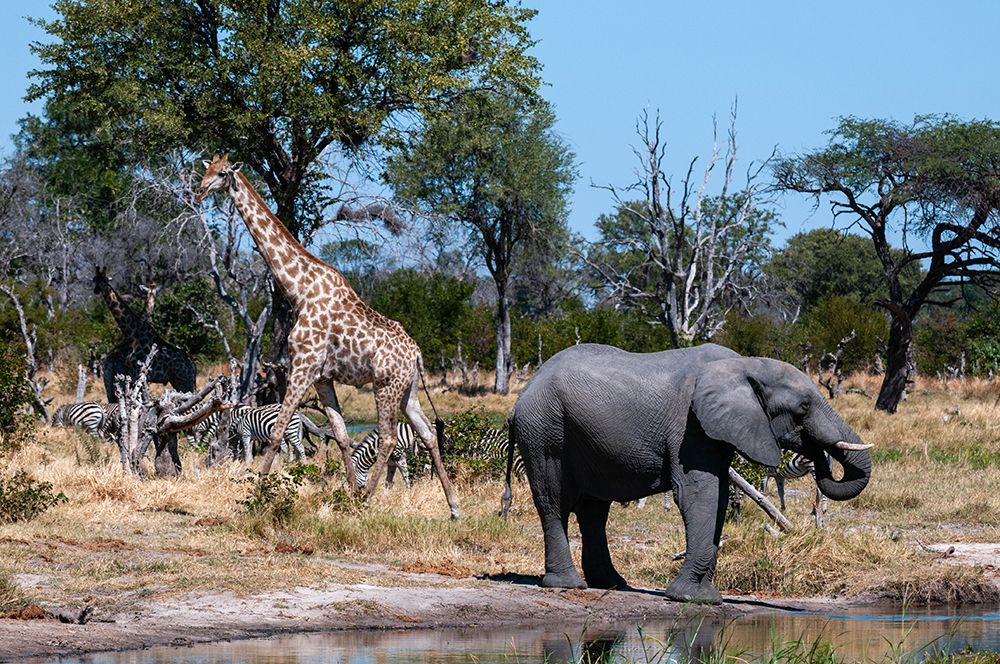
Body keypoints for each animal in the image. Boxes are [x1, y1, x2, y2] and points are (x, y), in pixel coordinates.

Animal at [93, 267, 197, 402]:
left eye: (105, 280)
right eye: (94, 279)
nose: (96, 290)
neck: (133, 332)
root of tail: (193, 367)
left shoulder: (140, 373)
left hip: (184, 381)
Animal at [194, 154, 460, 518]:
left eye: (221, 174)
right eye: (205, 169)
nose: (199, 191)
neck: (299, 291)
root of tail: (416, 353)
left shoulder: (302, 366)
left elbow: (277, 432)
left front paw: (258, 496)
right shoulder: (322, 377)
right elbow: (342, 435)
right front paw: (348, 492)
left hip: (385, 386)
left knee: (389, 437)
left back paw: (369, 499)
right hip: (409, 389)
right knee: (428, 433)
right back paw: (453, 506)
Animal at [505, 343, 872, 605]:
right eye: (804, 407)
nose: (817, 453)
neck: (745, 365)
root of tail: (524, 392)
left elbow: (719, 496)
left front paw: (705, 597)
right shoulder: (690, 427)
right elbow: (700, 493)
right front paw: (690, 598)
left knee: (594, 509)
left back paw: (612, 583)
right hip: (545, 431)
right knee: (555, 501)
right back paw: (569, 585)